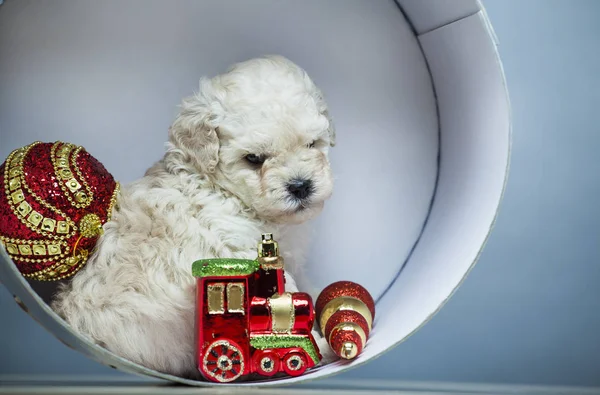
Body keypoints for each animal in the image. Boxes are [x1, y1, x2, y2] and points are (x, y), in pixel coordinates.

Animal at [52, 56, 338, 380]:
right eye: (253, 159)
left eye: (312, 144)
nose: (300, 186)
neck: (223, 190)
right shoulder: (240, 253)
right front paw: (317, 344)